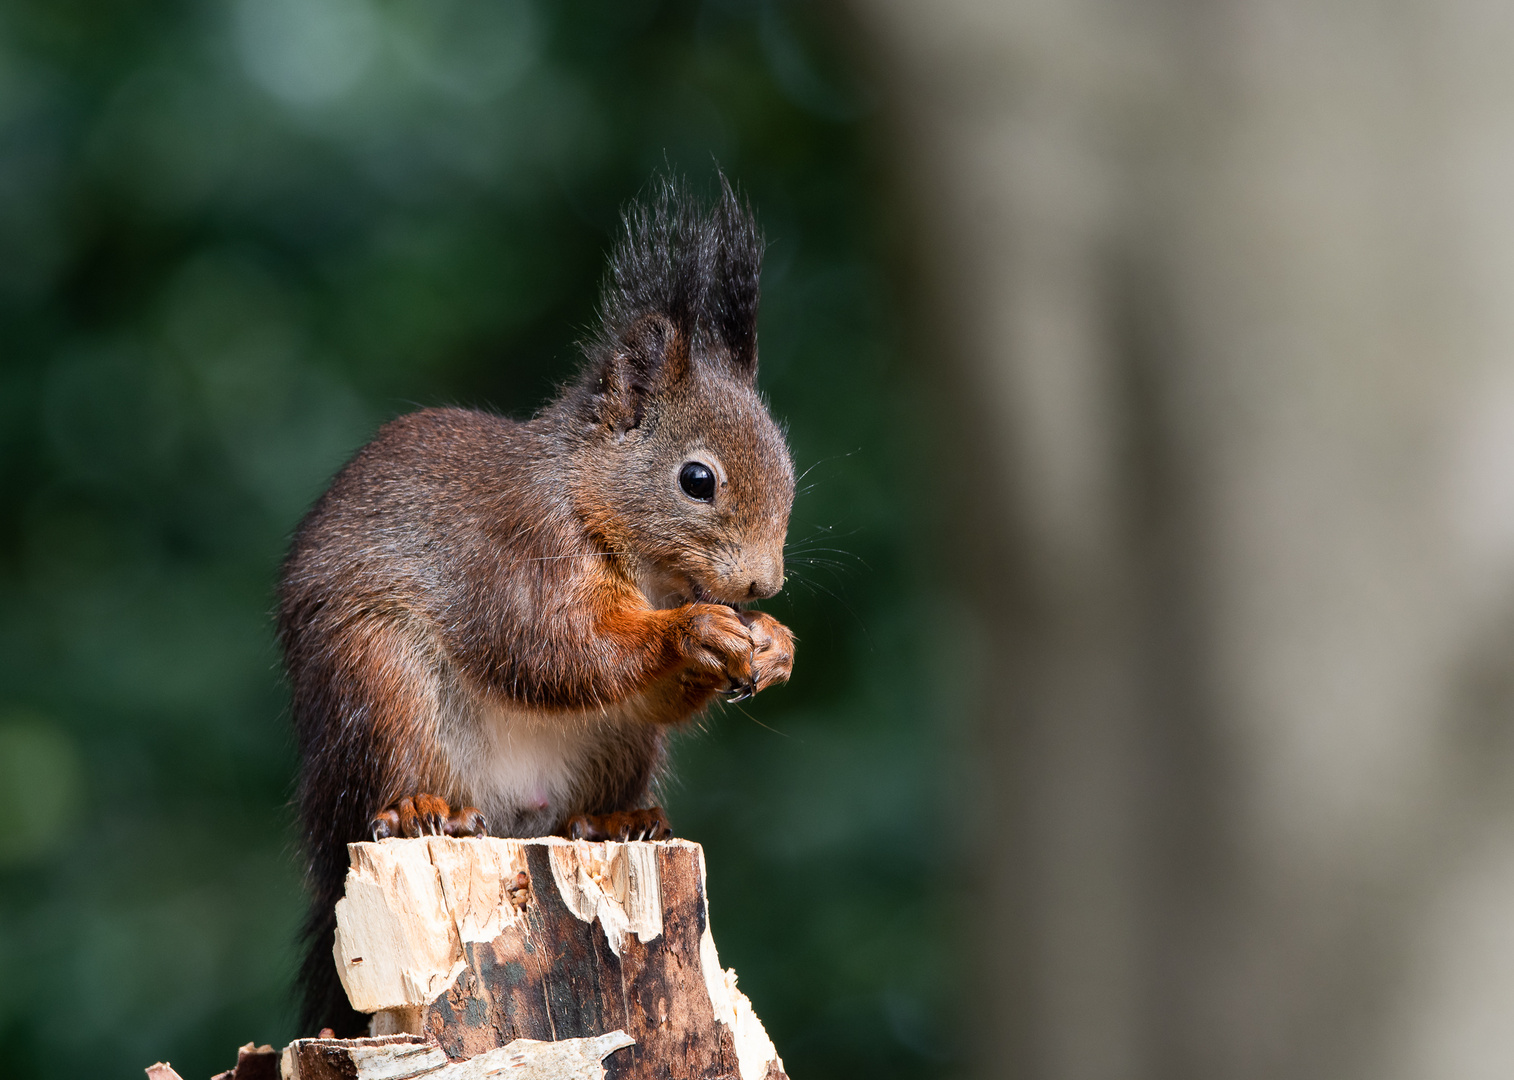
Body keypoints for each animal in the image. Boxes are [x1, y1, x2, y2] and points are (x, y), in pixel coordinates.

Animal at [275, 177, 793, 1036]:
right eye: (697, 480)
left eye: (787, 468)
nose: (763, 587)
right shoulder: (516, 552)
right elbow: (550, 649)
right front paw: (694, 630)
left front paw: (775, 644)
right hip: (379, 682)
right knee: (392, 779)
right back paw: (420, 808)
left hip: (619, 746)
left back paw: (617, 822)